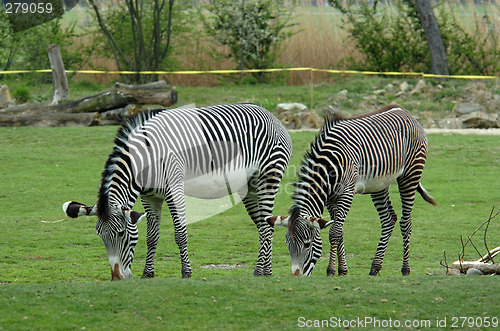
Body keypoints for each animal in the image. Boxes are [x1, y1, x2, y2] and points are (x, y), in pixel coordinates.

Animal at [62, 104, 292, 280]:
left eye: (120, 234)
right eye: (100, 235)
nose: (117, 278)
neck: (145, 159)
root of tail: (271, 116)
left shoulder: (174, 190)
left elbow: (180, 234)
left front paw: (186, 272)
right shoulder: (150, 198)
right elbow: (152, 236)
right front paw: (148, 273)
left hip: (268, 178)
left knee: (267, 226)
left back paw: (262, 271)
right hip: (250, 187)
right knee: (264, 225)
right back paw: (265, 270)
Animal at [268, 104, 436, 278]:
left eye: (307, 244)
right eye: (288, 244)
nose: (296, 277)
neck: (328, 168)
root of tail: (404, 111)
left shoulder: (346, 194)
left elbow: (334, 233)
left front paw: (331, 270)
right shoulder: (330, 198)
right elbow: (339, 231)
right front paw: (342, 270)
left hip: (410, 174)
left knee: (405, 222)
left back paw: (405, 268)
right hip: (379, 184)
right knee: (389, 219)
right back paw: (375, 267)